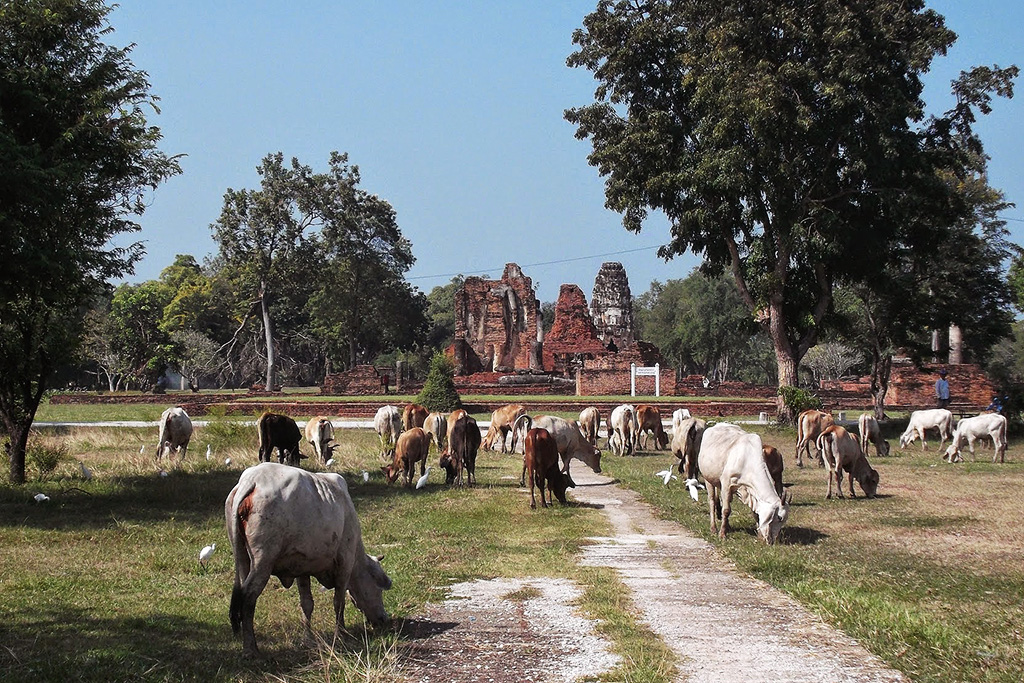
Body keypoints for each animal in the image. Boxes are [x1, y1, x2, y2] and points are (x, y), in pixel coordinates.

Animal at [225, 464, 391, 655]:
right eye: (378, 590)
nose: (383, 619)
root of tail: (252, 479)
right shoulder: (345, 564)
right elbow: (339, 602)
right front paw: (341, 634)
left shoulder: (301, 567)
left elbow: (307, 604)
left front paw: (308, 639)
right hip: (262, 562)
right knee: (248, 597)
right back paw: (250, 648)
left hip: (243, 559)